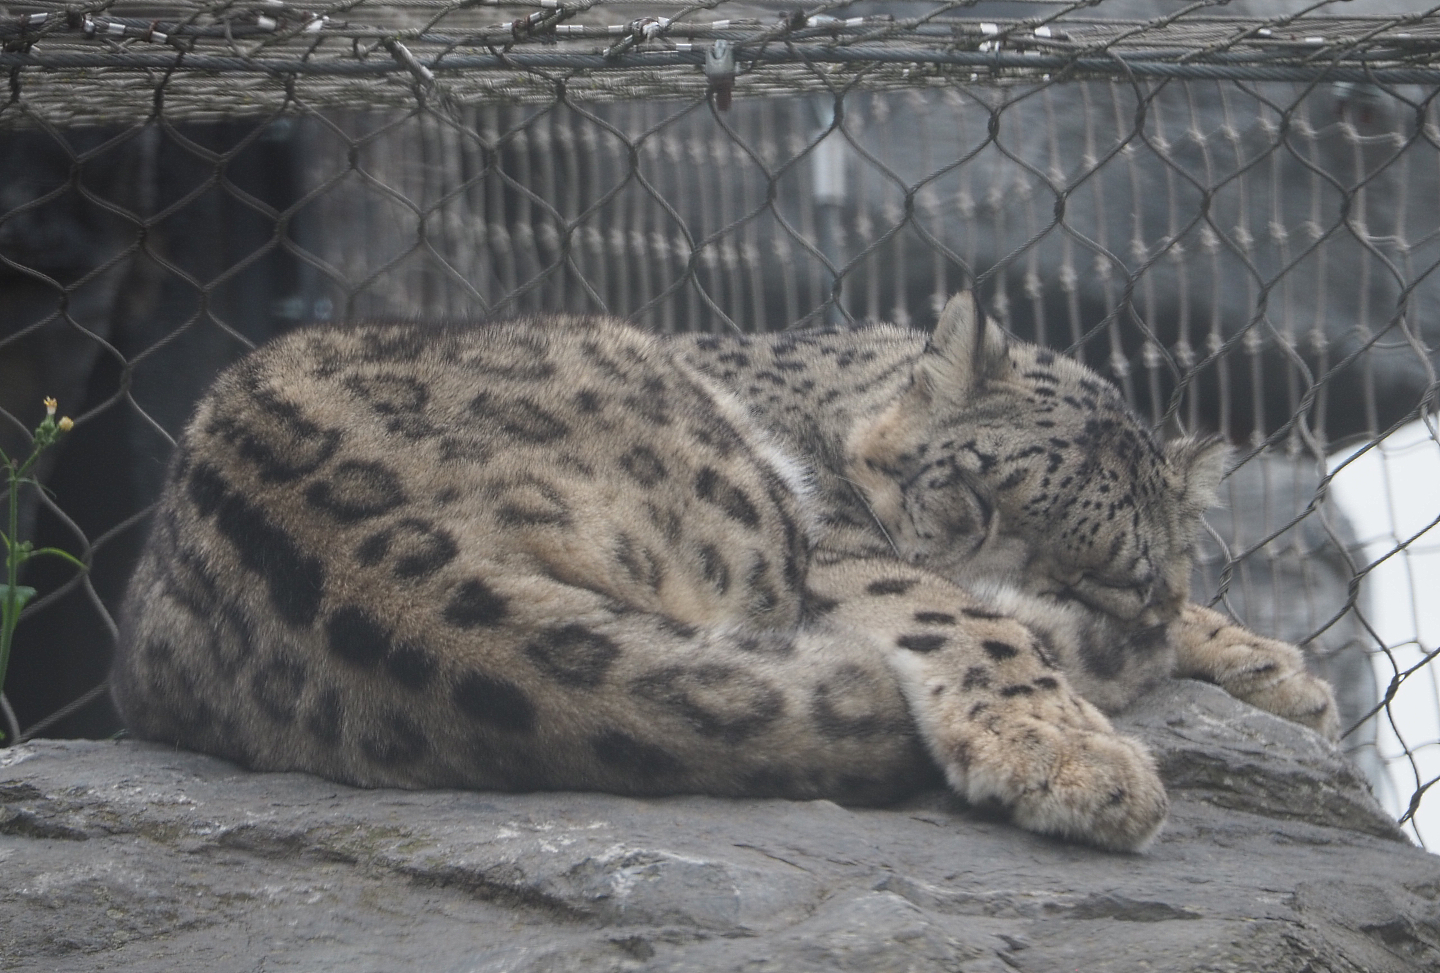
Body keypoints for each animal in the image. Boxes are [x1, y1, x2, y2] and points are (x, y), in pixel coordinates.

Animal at [110, 292, 1339, 852]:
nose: (1051, 592)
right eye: (973, 490)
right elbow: (962, 614)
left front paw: (1281, 670)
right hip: (745, 509)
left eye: (1109, 573)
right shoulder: (848, 543)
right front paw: (1077, 756)